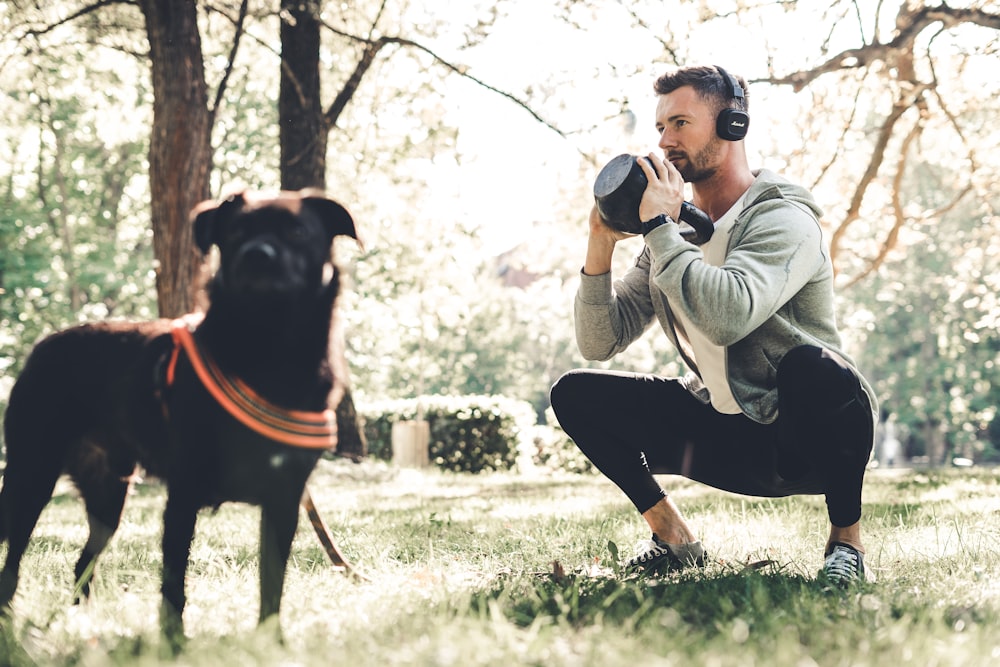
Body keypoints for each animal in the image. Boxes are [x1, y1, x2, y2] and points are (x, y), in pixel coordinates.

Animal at [0, 188, 360, 640]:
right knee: (11, 563)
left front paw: (270, 642)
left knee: (83, 561)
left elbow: (272, 583)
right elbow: (174, 584)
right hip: (31, 479)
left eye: (297, 231)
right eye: (236, 232)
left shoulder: (285, 500)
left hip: (108, 498)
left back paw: (81, 626)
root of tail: (41, 347)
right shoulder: (183, 494)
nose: (256, 255)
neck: (266, 353)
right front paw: (174, 644)